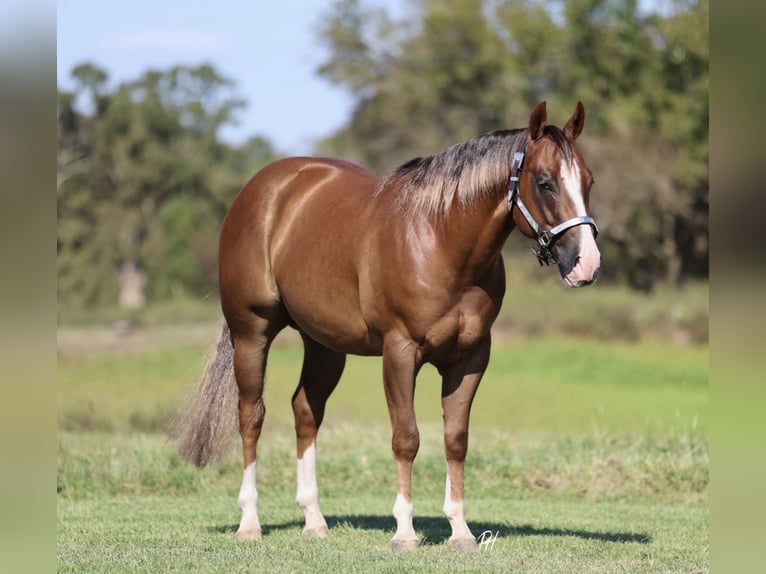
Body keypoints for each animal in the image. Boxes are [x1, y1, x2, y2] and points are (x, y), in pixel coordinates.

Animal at [176, 101, 601, 552]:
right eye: (545, 183)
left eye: (588, 180)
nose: (587, 264)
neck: (440, 240)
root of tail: (262, 188)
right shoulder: (399, 351)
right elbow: (406, 438)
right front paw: (404, 532)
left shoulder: (470, 358)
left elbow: (456, 440)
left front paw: (461, 531)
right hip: (251, 333)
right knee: (251, 416)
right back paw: (250, 521)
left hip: (324, 345)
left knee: (305, 411)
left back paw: (314, 519)